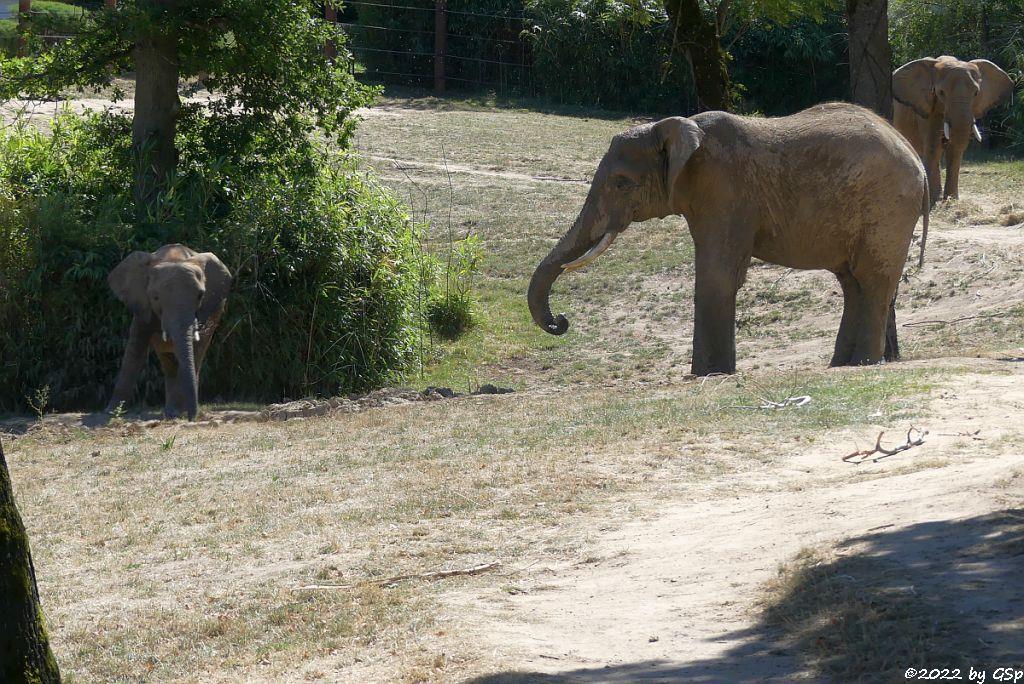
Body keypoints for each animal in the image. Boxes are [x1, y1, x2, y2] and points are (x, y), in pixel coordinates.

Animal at [105, 242, 230, 419]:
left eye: (200, 296)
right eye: (155, 297)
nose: (192, 418)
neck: (173, 258)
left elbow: (194, 349)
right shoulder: (142, 305)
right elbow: (135, 351)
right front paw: (109, 413)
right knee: (168, 361)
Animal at [528, 104, 929, 376]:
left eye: (622, 183)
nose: (561, 321)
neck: (672, 128)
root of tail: (918, 160)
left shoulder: (725, 188)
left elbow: (717, 274)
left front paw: (708, 374)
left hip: (887, 206)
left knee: (873, 281)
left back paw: (863, 363)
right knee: (852, 283)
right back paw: (842, 365)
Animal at [892, 56, 1011, 201]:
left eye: (976, 93)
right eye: (941, 92)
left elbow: (954, 149)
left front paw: (951, 198)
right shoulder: (928, 108)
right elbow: (934, 146)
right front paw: (934, 199)